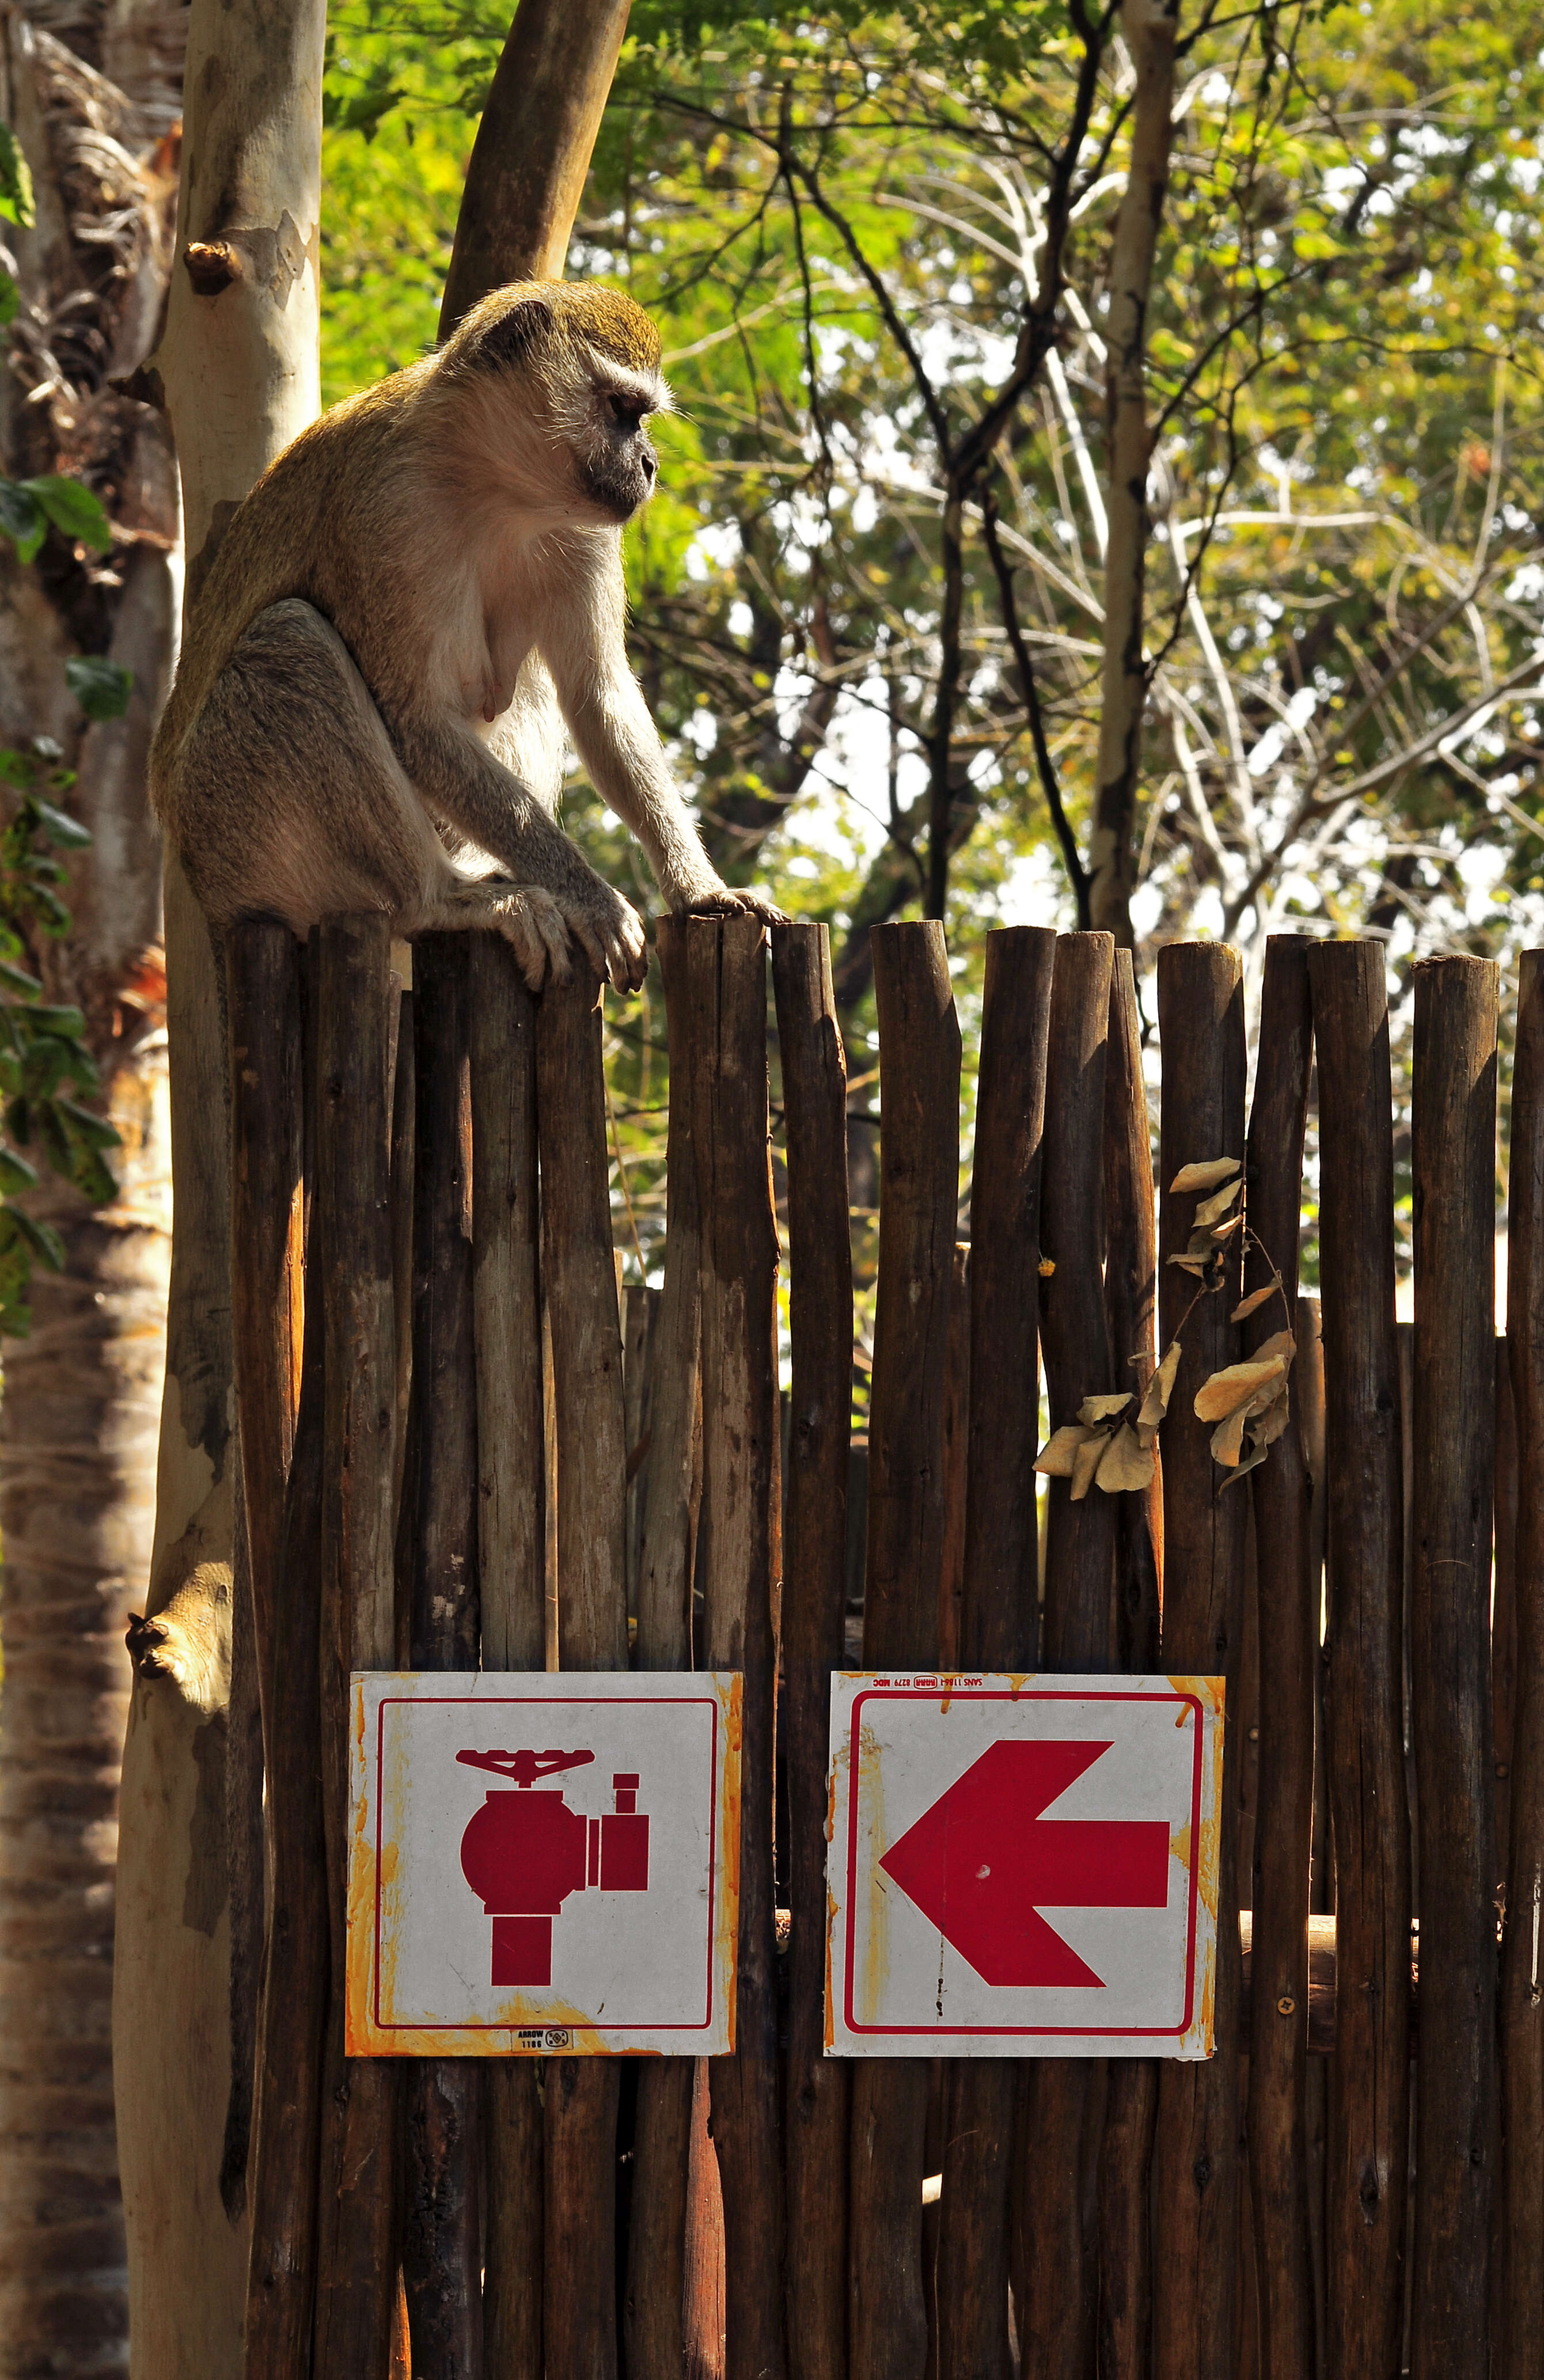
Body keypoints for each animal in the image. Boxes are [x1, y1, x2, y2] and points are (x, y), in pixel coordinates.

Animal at [153, 278, 785, 985]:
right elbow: (418, 720)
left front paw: (701, 890)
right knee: (291, 639)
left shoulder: (589, 532)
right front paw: (593, 899)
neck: (495, 487)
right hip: (231, 828)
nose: (648, 464)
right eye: (621, 409)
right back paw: (443, 898)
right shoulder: (390, 512)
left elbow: (598, 697)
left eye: (641, 416)